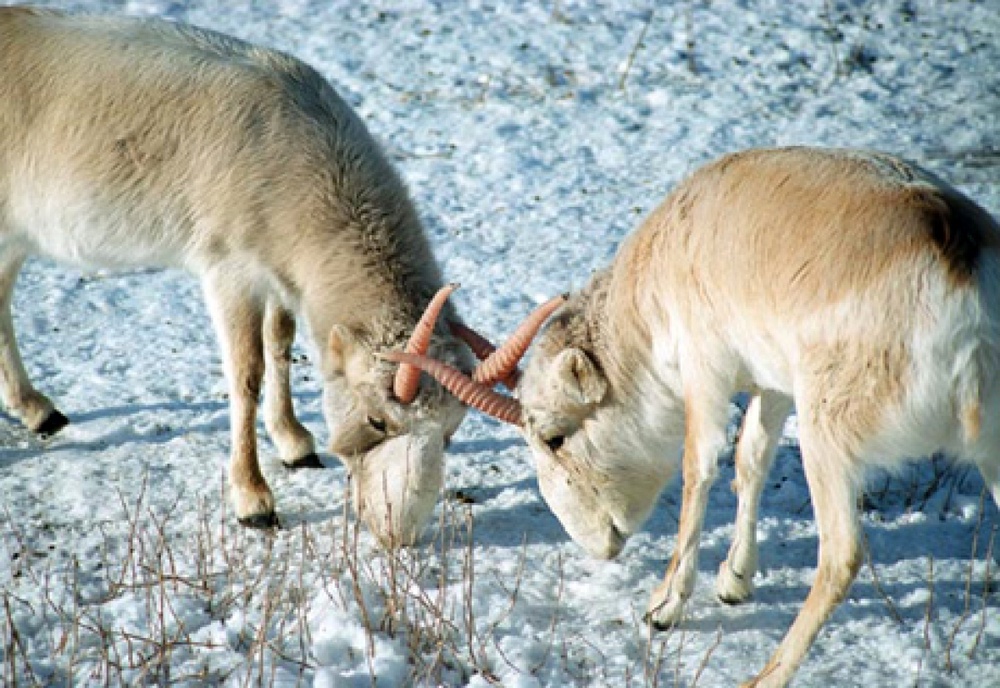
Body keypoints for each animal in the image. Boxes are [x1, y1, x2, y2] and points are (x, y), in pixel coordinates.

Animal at [0, 5, 488, 544]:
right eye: (377, 420)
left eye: (450, 432)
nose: (398, 534)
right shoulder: (228, 271)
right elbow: (247, 373)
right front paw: (254, 501)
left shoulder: (276, 274)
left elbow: (280, 343)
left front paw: (295, 443)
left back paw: (36, 410)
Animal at [390, 148, 1000, 684]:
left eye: (554, 438)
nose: (597, 544)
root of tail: (962, 284)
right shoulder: (771, 385)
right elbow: (751, 462)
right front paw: (733, 582)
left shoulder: (705, 374)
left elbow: (700, 468)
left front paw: (663, 606)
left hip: (826, 437)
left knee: (842, 554)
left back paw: (764, 677)